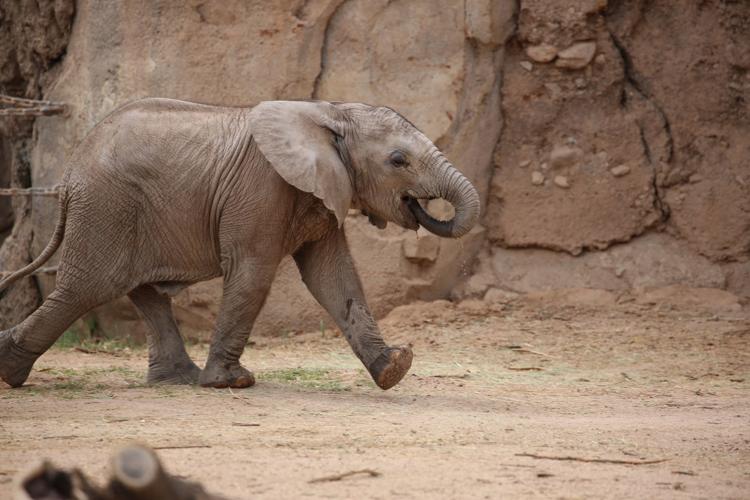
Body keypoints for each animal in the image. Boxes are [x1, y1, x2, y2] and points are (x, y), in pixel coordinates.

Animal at [0, 98, 482, 390]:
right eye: (398, 161)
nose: (421, 209)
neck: (329, 113)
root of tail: (69, 172)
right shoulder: (261, 186)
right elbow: (254, 272)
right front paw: (231, 382)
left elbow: (334, 277)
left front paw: (394, 369)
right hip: (106, 205)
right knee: (85, 289)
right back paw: (9, 370)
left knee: (140, 290)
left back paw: (178, 379)